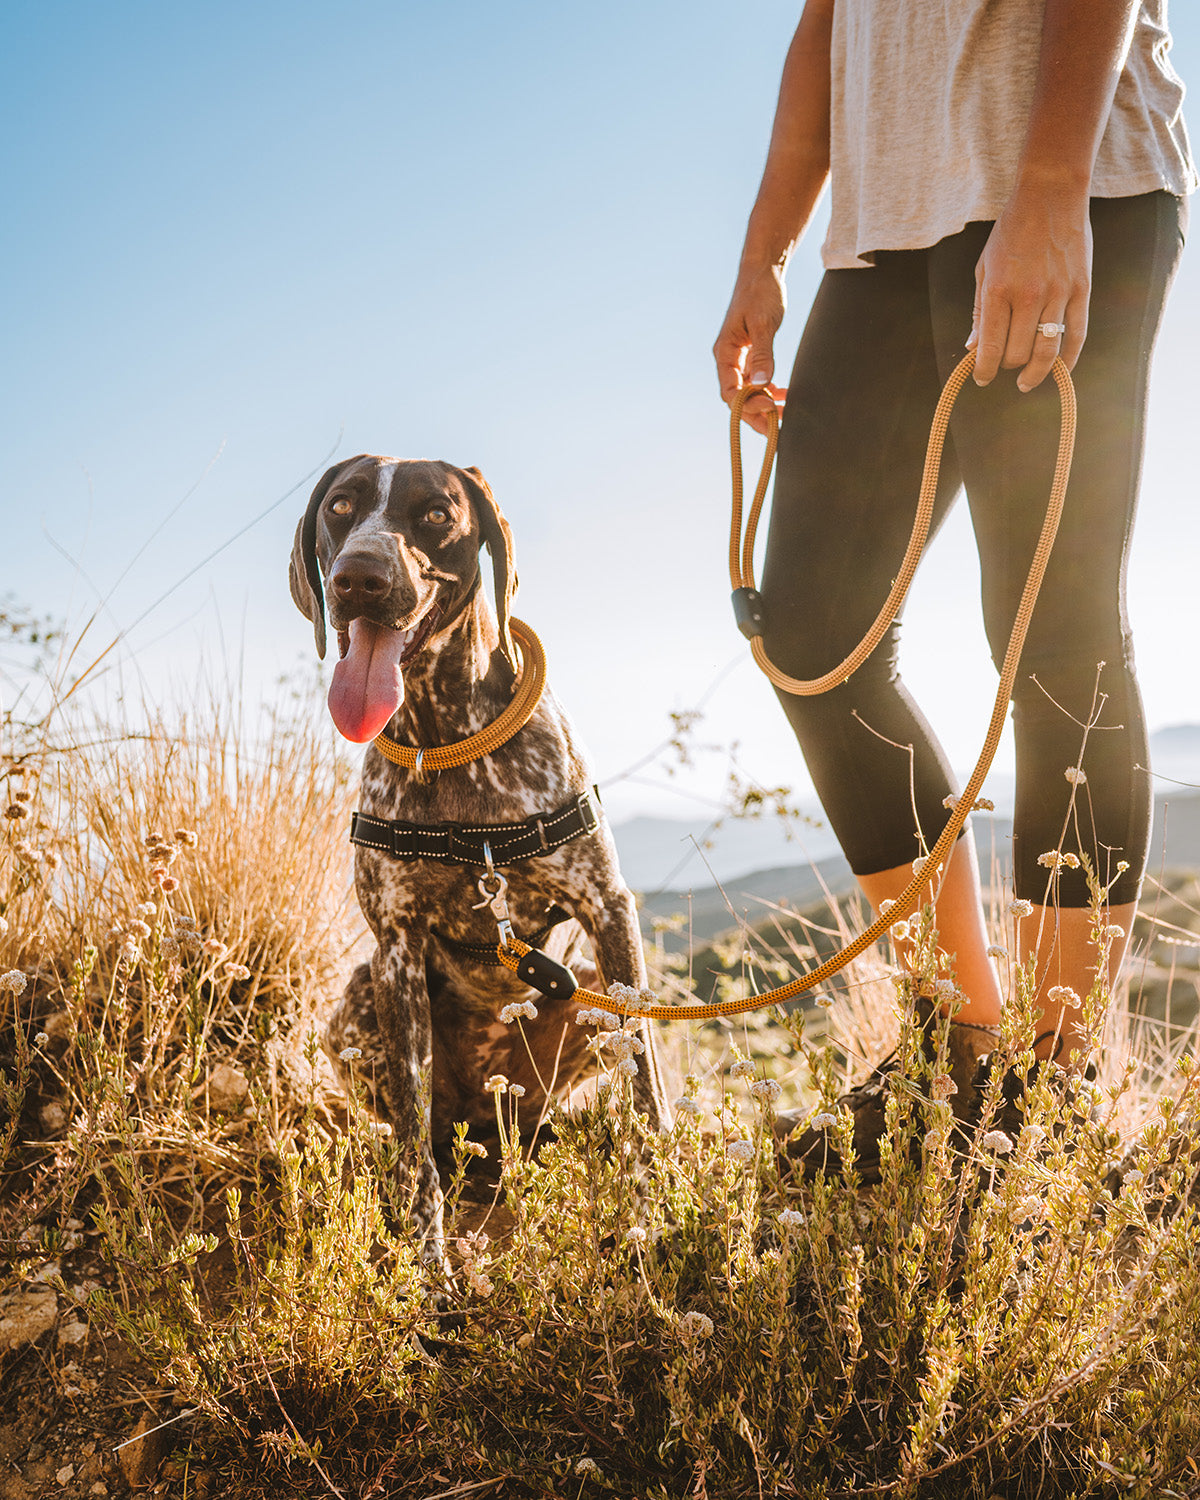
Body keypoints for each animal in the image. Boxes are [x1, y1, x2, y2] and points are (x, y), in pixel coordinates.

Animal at [286, 459, 669, 1266]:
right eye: (340, 507)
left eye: (436, 513)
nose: (359, 576)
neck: (447, 737)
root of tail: (492, 1121)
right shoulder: (395, 948)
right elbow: (411, 1139)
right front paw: (427, 1257)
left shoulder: (608, 910)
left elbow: (648, 1091)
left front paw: (656, 1207)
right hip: (354, 1006)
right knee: (425, 1134)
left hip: (586, 989)